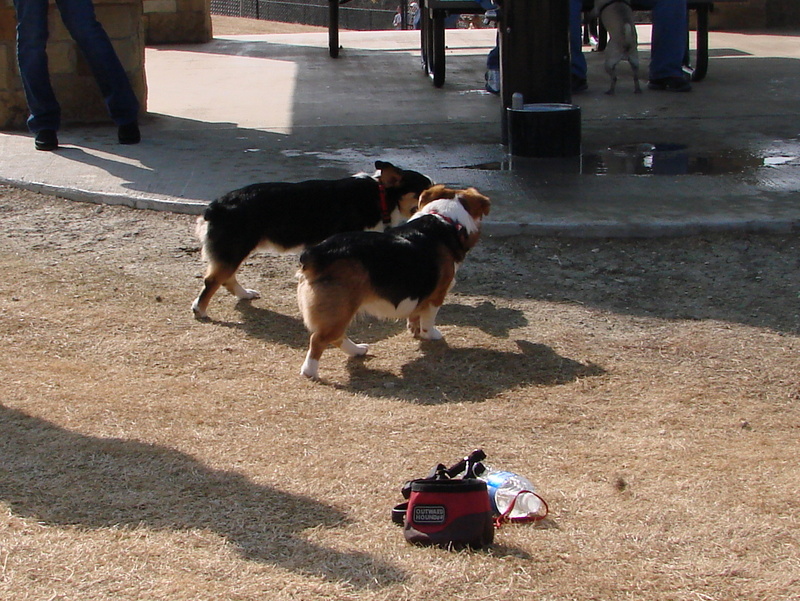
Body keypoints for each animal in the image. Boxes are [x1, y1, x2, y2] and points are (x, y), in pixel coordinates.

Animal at [192, 159, 432, 318]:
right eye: (425, 190)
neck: (381, 194)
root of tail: (214, 207)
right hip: (235, 248)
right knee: (213, 280)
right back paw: (200, 310)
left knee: (226, 277)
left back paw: (244, 294)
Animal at [296, 184, 490, 380]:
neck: (446, 217)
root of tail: (314, 254)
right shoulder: (438, 295)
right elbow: (429, 319)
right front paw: (431, 335)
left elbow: (415, 314)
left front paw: (414, 330)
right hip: (339, 310)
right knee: (319, 339)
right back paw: (310, 371)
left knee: (336, 337)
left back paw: (357, 350)